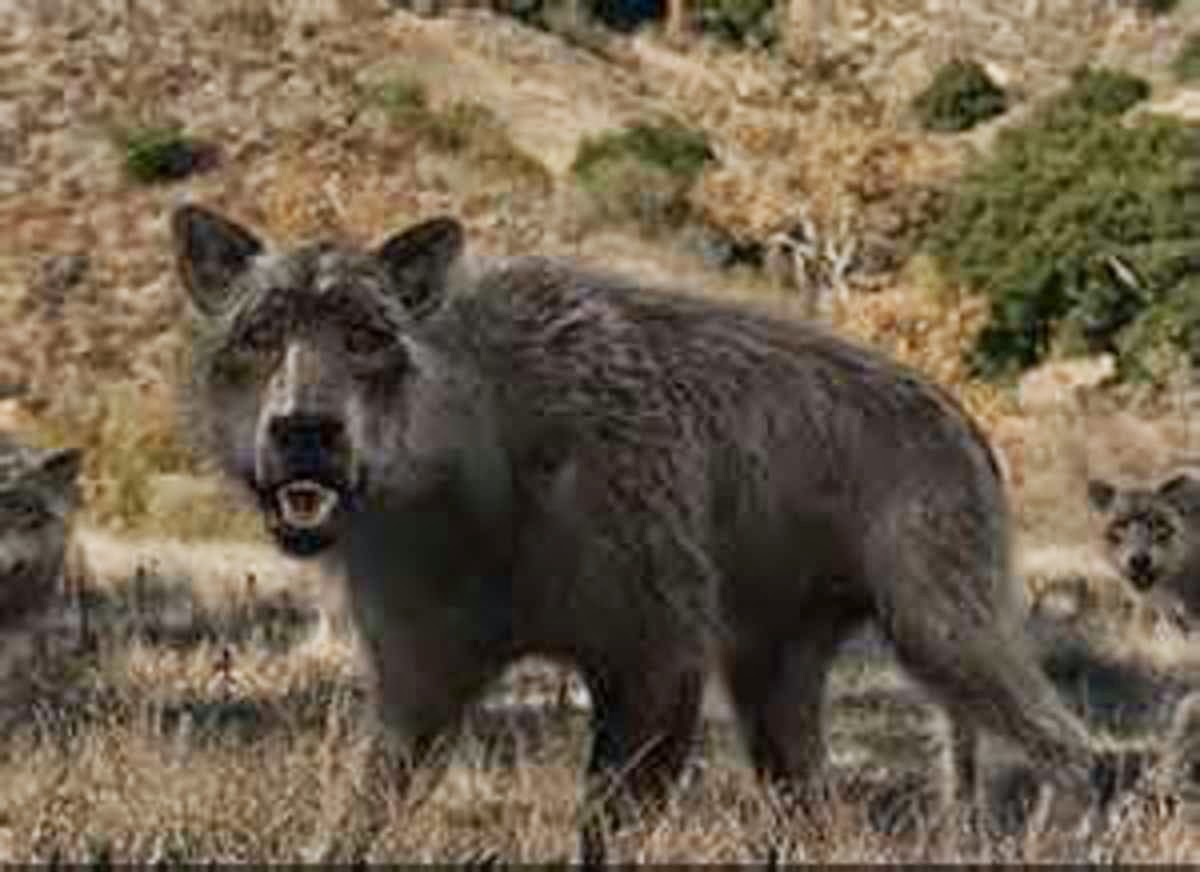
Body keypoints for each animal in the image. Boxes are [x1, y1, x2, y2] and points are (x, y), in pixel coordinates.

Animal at [170, 203, 1106, 861]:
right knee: (817, 813)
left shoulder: (653, 667)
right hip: (775, 684)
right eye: (259, 332)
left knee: (1072, 751)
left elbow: (602, 834)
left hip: (942, 631)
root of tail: (959, 414)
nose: (305, 431)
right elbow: (352, 824)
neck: (466, 479)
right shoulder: (418, 693)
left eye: (366, 335)